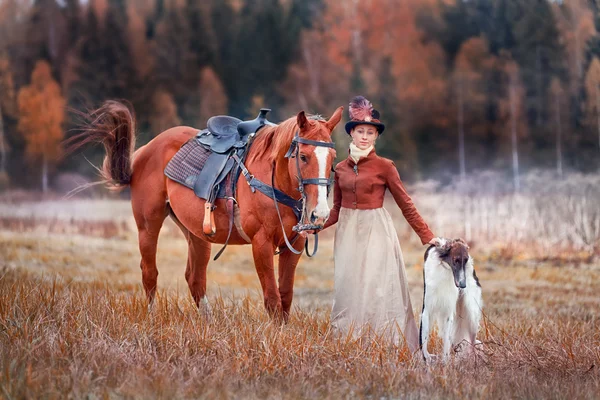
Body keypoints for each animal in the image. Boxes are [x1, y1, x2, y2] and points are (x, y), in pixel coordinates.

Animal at [71, 102, 342, 322]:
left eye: (332, 157)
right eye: (303, 157)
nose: (319, 213)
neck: (273, 180)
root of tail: (144, 151)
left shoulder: (292, 245)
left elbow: (285, 296)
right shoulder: (261, 244)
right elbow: (273, 299)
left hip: (197, 234)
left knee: (195, 279)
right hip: (147, 226)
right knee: (149, 273)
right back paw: (152, 318)